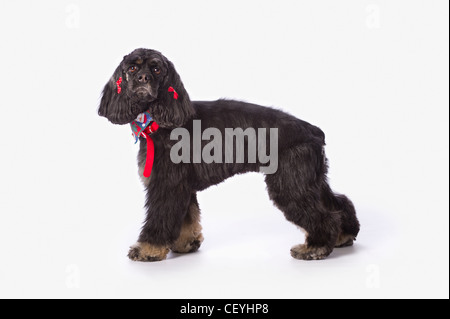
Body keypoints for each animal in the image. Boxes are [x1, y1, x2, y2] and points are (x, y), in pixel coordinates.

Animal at [97, 48, 358, 262]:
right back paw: (343, 236)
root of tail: (312, 130)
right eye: (132, 67)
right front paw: (186, 244)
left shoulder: (167, 184)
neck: (160, 120)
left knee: (323, 216)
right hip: (309, 179)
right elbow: (187, 217)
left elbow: (160, 218)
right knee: (337, 203)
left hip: (291, 183)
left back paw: (315, 247)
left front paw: (148, 249)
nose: (143, 79)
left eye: (156, 68)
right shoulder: (182, 185)